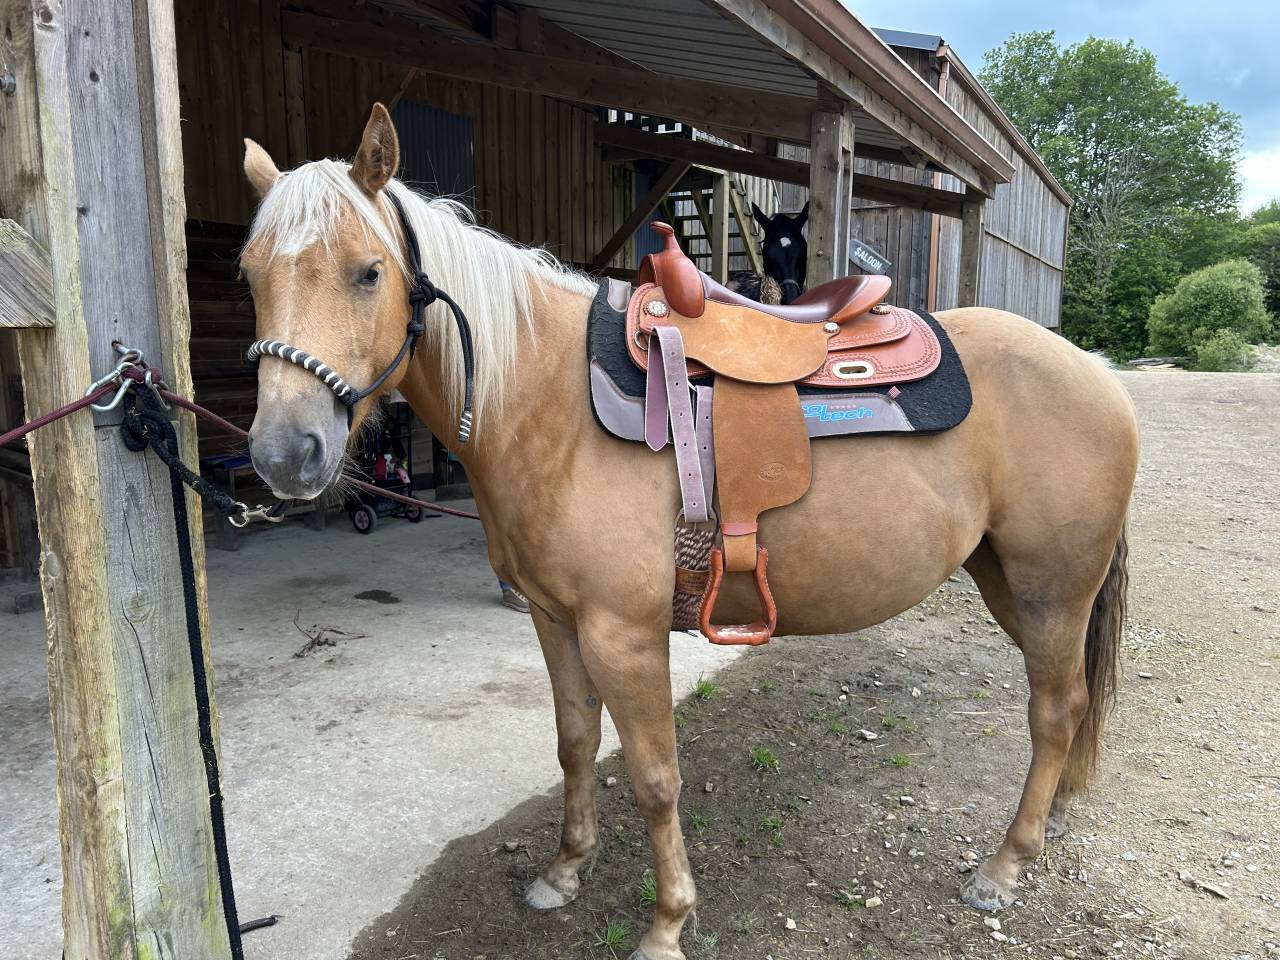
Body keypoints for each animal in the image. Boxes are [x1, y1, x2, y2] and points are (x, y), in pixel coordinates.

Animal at [239, 104, 1139, 960]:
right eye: (250, 274)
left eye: (368, 272)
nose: (285, 452)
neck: (547, 401)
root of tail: (1094, 371)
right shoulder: (554, 620)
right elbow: (574, 743)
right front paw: (564, 871)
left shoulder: (624, 636)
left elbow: (654, 778)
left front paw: (667, 923)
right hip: (1005, 580)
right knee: (1064, 706)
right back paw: (1048, 818)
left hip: (1053, 591)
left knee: (1056, 709)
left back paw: (1004, 865)